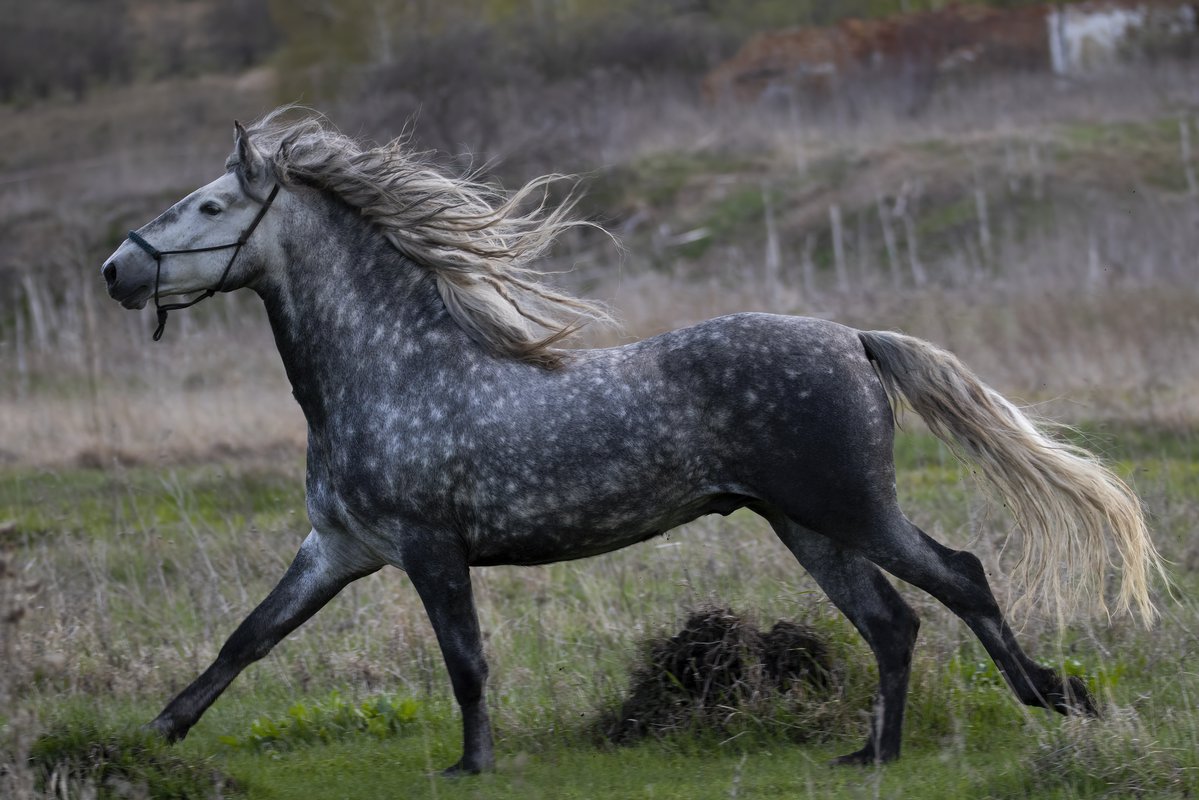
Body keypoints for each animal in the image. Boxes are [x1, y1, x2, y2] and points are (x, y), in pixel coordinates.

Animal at [100, 109, 1160, 772]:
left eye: (210, 206)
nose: (116, 270)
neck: (391, 371)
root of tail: (854, 339)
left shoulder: (430, 550)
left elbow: (465, 662)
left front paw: (471, 766)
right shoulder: (338, 549)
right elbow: (248, 637)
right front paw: (154, 733)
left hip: (849, 508)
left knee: (960, 578)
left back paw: (1051, 698)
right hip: (804, 525)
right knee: (893, 621)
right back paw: (874, 752)